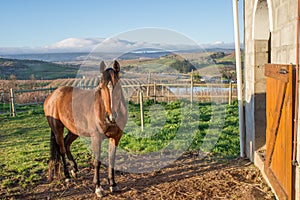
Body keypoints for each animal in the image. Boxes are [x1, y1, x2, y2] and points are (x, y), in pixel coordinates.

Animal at [43, 60, 127, 198]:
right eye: (101, 87)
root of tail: (52, 96)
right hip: (57, 129)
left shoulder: (116, 137)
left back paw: (75, 170)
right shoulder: (96, 138)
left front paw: (113, 184)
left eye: (118, 87)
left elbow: (112, 159)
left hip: (74, 130)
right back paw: (67, 176)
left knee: (67, 143)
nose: (111, 117)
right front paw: (98, 188)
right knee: (61, 149)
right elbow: (97, 162)